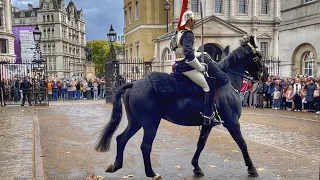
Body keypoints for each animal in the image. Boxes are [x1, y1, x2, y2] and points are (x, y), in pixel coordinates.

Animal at [96, 35, 268, 179]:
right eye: (258, 56)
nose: (265, 75)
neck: (227, 82)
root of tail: (134, 83)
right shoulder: (232, 122)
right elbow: (242, 143)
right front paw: (252, 168)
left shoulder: (208, 124)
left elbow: (201, 144)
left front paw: (196, 167)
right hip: (150, 123)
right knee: (145, 146)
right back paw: (152, 173)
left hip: (136, 122)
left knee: (121, 138)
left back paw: (116, 165)